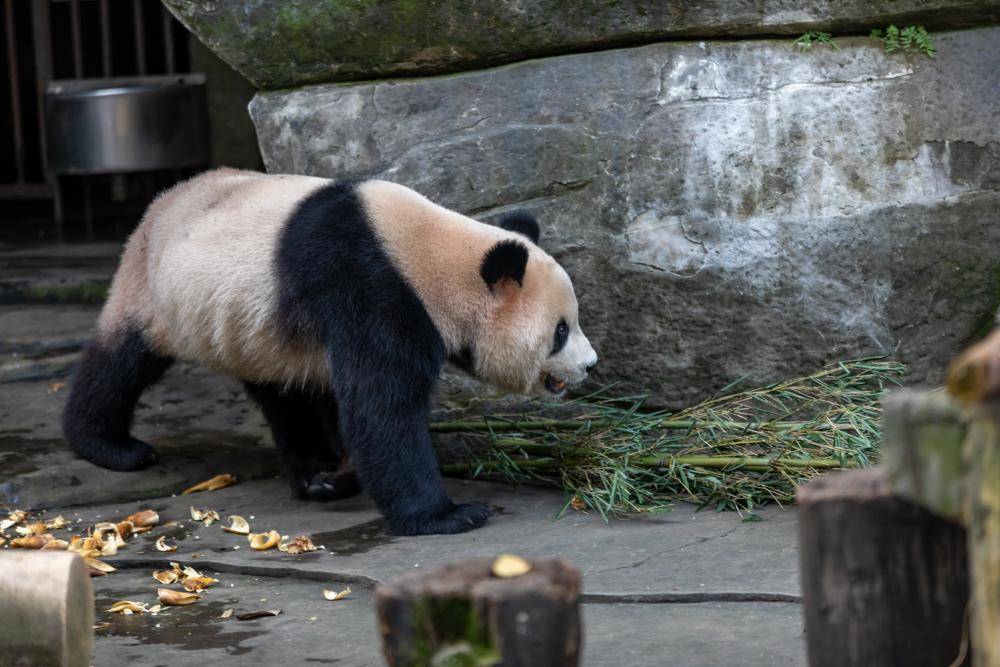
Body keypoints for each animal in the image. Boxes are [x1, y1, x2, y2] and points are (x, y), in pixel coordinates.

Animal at [62, 168, 596, 536]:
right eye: (560, 331)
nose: (590, 364)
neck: (427, 255)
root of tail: (161, 200)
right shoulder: (369, 288)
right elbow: (381, 409)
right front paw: (447, 515)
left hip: (255, 330)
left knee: (285, 395)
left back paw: (320, 477)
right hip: (154, 290)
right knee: (121, 363)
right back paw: (109, 446)